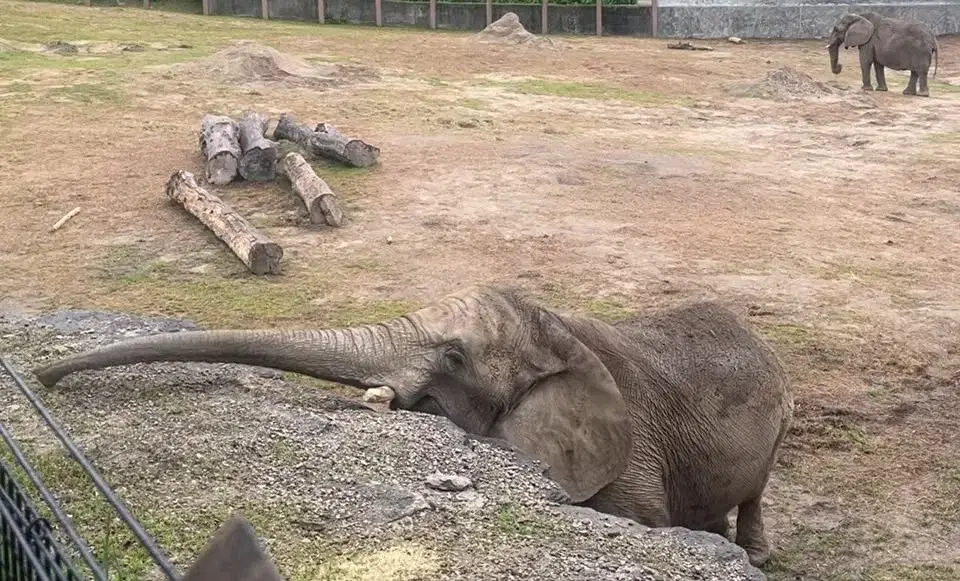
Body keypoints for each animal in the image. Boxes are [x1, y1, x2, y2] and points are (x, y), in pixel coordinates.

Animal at [32, 285, 794, 567]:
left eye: (454, 357)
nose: (43, 378)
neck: (557, 331)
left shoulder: (627, 449)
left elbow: (640, 520)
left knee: (758, 491)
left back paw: (753, 557)